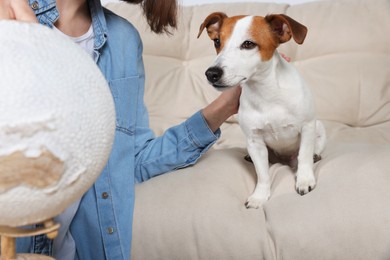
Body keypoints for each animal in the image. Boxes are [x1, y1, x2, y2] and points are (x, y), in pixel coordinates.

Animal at [198, 12, 326, 209]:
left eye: (248, 44)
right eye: (217, 41)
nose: (211, 73)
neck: (267, 94)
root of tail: (283, 160)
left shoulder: (307, 127)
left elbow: (304, 157)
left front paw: (304, 180)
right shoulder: (255, 142)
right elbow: (263, 174)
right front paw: (260, 196)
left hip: (319, 128)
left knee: (310, 152)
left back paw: (313, 158)